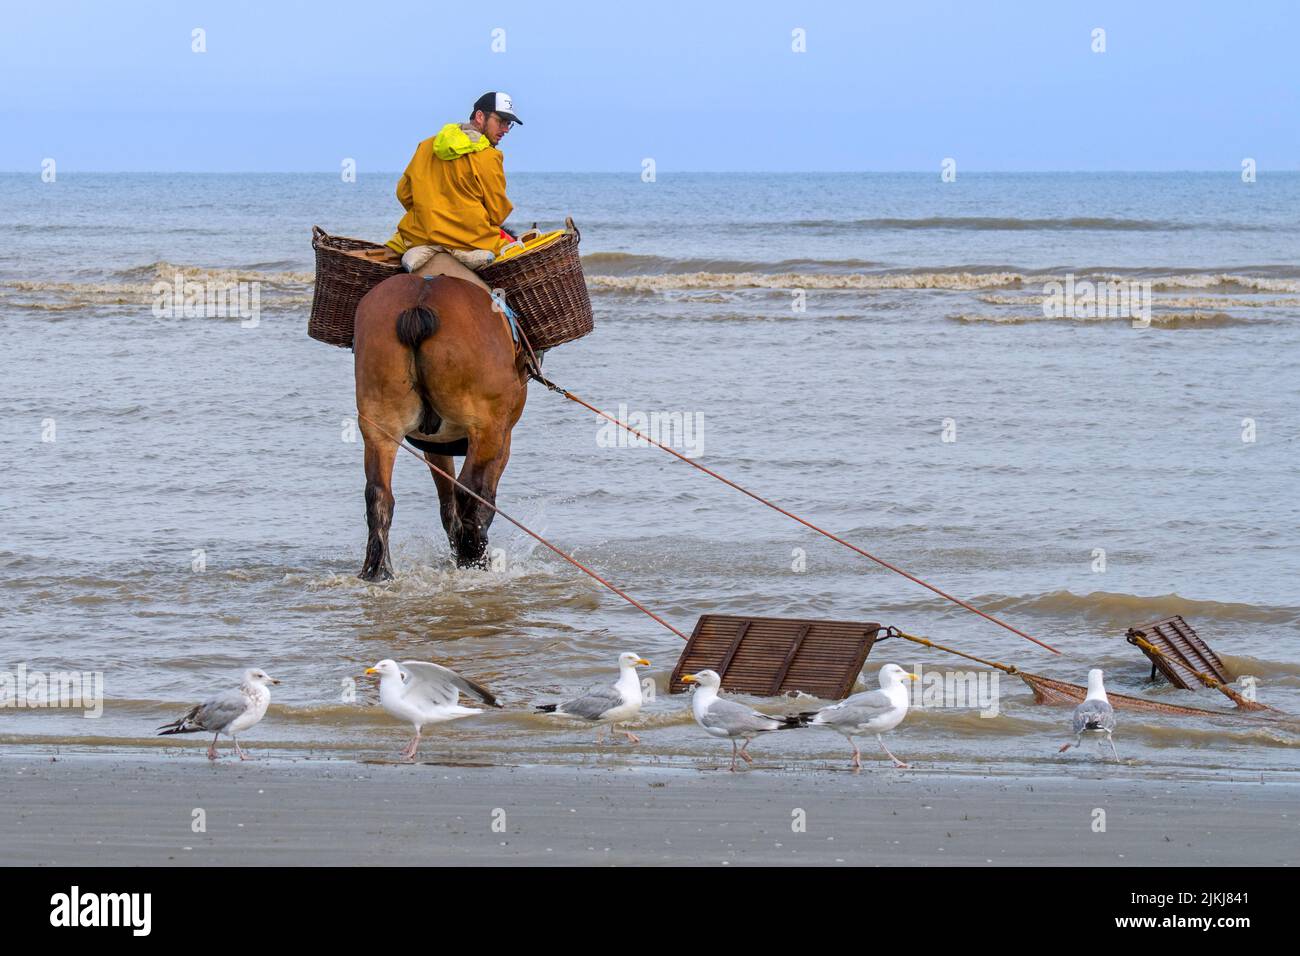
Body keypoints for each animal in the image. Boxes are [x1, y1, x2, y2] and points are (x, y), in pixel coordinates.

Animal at [352, 266, 530, 579]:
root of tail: (419, 303)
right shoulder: (502, 435)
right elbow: (482, 498)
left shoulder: (435, 443)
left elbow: (446, 505)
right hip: (487, 430)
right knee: (470, 493)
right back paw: (475, 557)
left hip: (379, 426)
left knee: (378, 495)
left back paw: (379, 570)